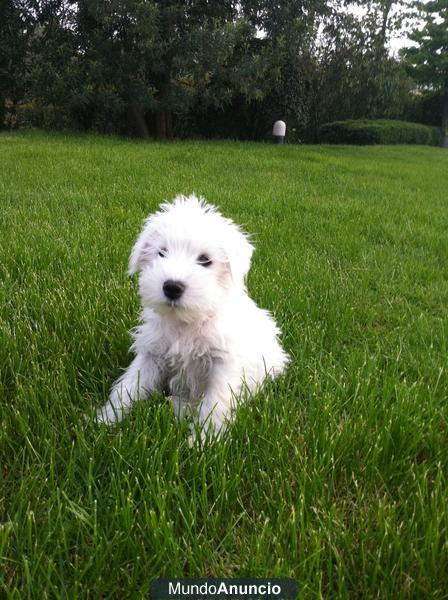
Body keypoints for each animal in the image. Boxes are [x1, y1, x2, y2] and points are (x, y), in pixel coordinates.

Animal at [96, 195, 288, 438]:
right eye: (162, 252)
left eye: (205, 260)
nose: (172, 287)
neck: (187, 321)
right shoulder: (151, 354)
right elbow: (128, 386)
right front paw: (104, 420)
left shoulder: (223, 365)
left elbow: (215, 403)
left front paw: (205, 440)